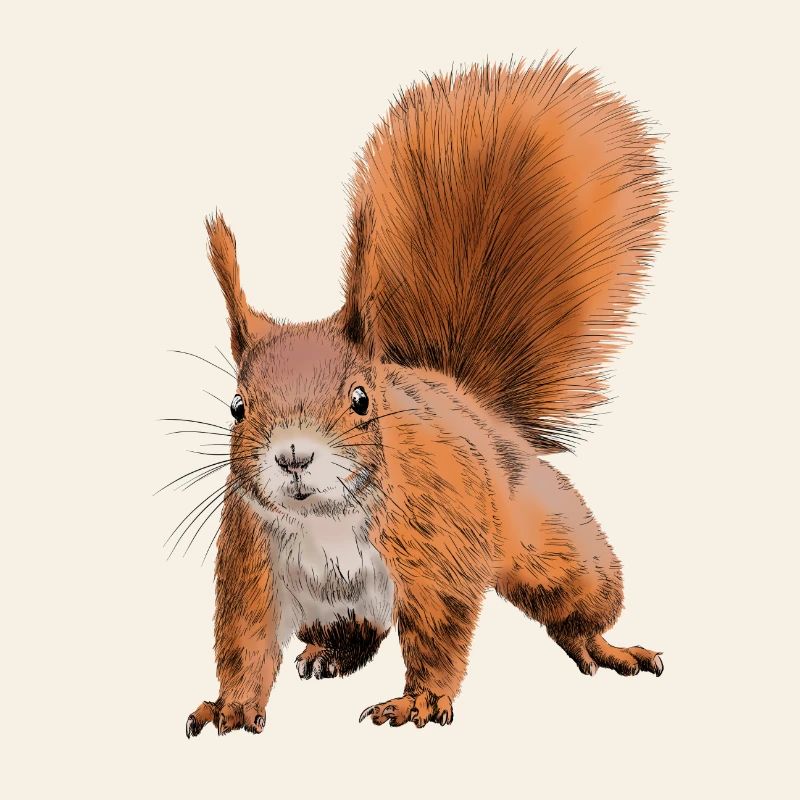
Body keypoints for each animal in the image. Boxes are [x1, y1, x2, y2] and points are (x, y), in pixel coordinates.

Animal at [182, 55, 666, 737]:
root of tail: (465, 396)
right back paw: (328, 653)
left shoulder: (438, 541)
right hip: (333, 607)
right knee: (358, 633)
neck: (324, 520)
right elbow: (244, 640)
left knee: (575, 597)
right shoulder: (252, 559)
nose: (294, 456)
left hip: (550, 538)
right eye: (237, 406)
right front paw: (230, 706)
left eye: (361, 399)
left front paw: (418, 703)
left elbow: (439, 628)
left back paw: (604, 644)